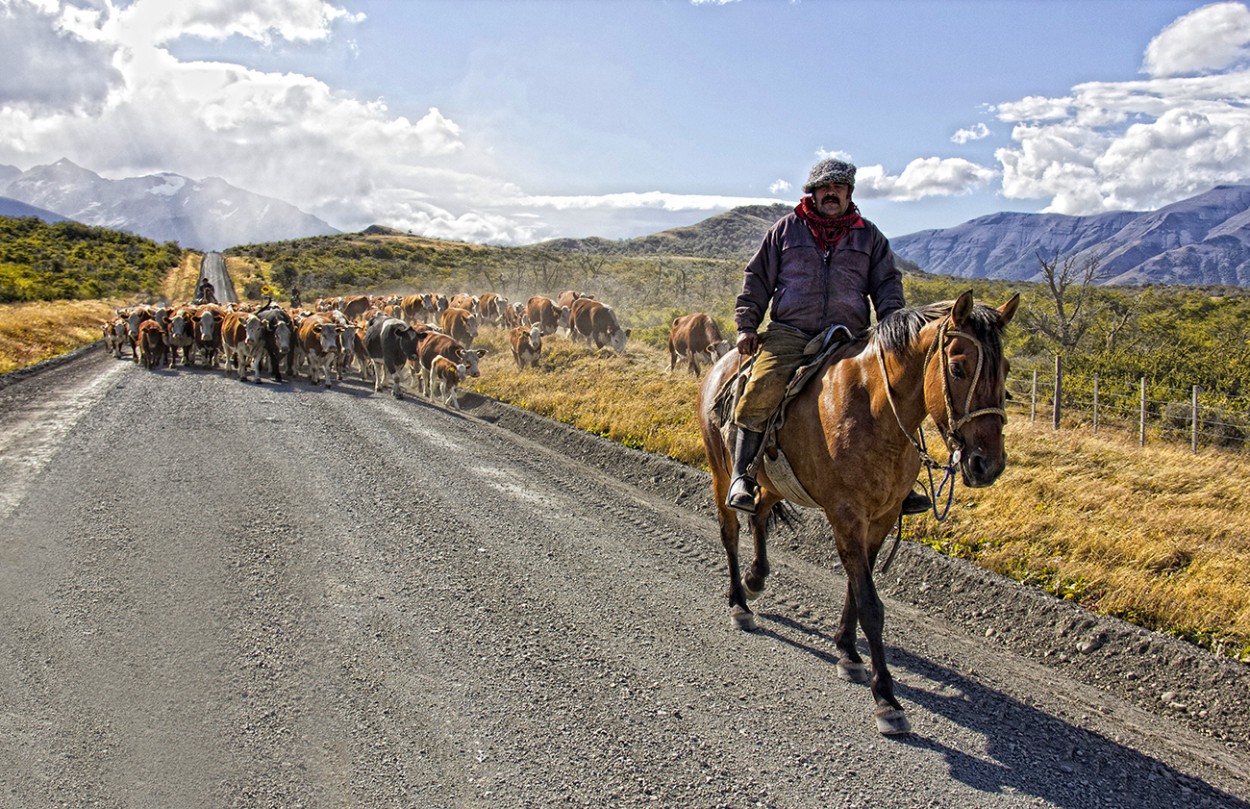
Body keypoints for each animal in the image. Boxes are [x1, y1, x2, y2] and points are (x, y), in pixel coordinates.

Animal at [700, 291, 1020, 735]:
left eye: (1004, 370)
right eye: (958, 367)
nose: (987, 465)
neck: (873, 410)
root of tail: (724, 362)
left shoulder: (879, 519)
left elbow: (856, 586)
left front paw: (848, 651)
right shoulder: (847, 516)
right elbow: (870, 603)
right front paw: (885, 698)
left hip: (772, 481)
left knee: (759, 515)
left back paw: (754, 579)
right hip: (721, 469)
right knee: (730, 531)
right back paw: (739, 603)